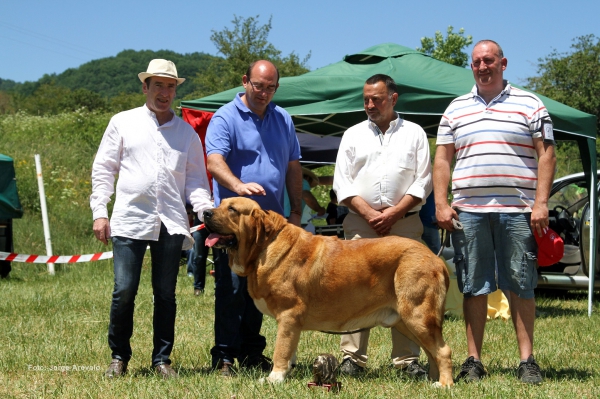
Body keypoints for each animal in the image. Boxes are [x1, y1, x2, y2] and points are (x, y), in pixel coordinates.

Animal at [204, 198, 452, 388]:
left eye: (232, 209)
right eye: (220, 203)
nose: (205, 212)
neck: (264, 245)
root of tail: (435, 258)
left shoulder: (288, 315)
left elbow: (281, 350)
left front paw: (274, 378)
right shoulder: (291, 324)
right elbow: (289, 348)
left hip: (417, 316)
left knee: (442, 350)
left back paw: (444, 385)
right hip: (405, 322)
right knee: (431, 352)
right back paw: (432, 381)